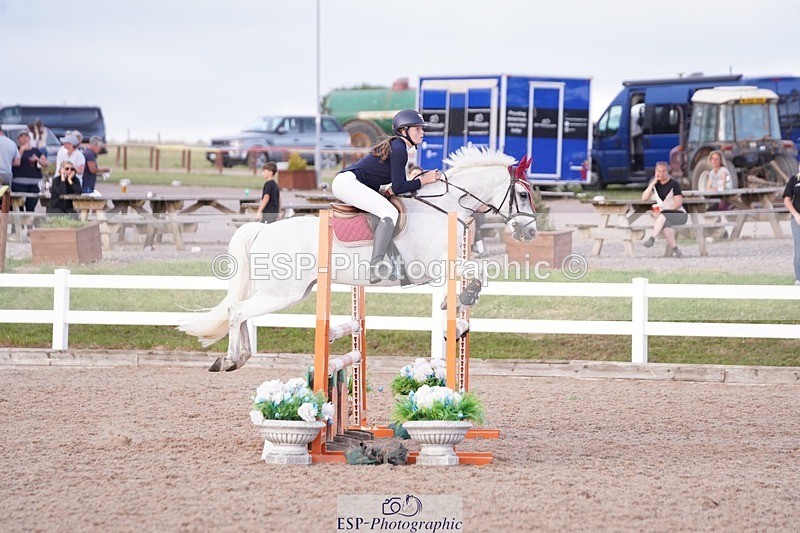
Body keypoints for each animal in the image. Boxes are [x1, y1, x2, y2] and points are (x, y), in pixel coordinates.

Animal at [179, 146, 538, 372]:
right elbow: (477, 270)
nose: (531, 232)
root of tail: (262, 231)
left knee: (240, 313)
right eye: (522, 194)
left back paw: (238, 357)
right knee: (237, 312)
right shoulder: (435, 265)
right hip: (282, 293)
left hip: (289, 292)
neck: (444, 206)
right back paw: (231, 360)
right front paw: (462, 297)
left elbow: (475, 271)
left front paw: (456, 301)